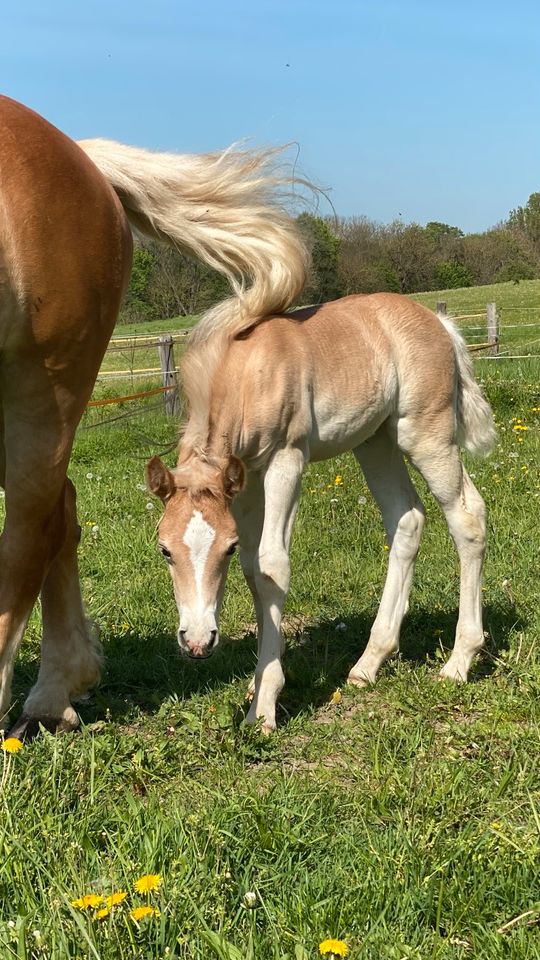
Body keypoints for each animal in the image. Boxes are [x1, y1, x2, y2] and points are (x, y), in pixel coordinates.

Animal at [0, 95, 308, 736]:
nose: (196, 643)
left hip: (40, 387)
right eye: (163, 551)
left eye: (231, 550)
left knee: (30, 534)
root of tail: (82, 156)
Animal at [149, 290, 498, 728]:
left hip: (423, 434)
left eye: (225, 549)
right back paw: (370, 662)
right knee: (406, 519)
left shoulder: (286, 458)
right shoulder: (244, 481)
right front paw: (257, 678)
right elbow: (252, 570)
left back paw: (458, 662)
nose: (197, 641)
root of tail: (439, 323)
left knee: (467, 518)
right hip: (375, 441)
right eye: (164, 550)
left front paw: (263, 707)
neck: (246, 372)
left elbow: (271, 565)